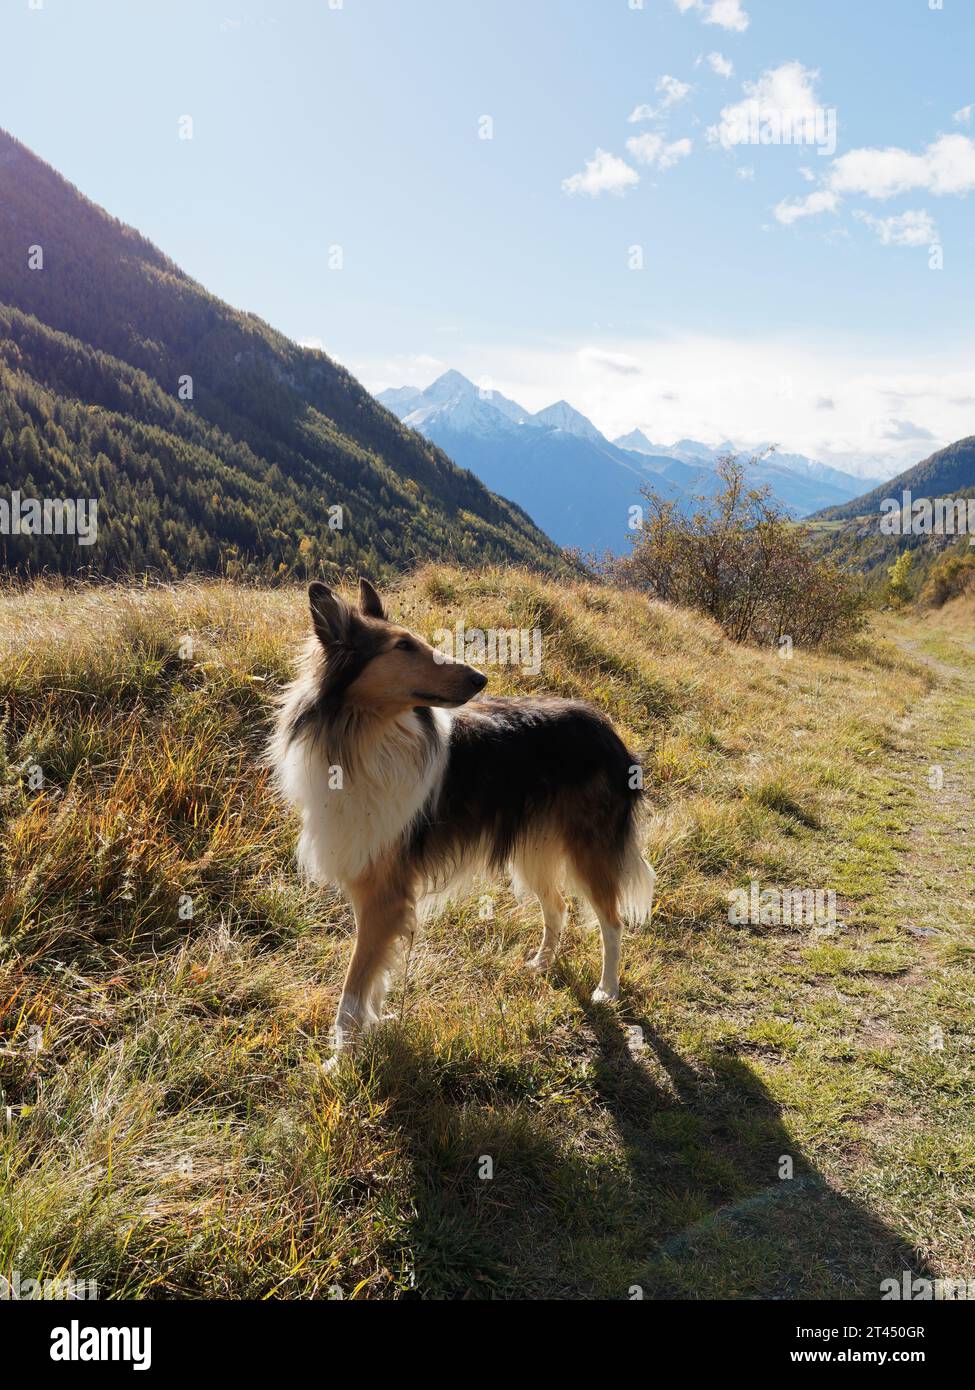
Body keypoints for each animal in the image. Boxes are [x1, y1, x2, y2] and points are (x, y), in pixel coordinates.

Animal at [269, 578, 659, 1050]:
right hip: (534, 850)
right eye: (403, 646)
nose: (480, 677)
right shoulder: (377, 891)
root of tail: (610, 731)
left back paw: (607, 990)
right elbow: (372, 978)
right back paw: (541, 965)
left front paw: (339, 1053)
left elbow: (354, 984)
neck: (367, 736)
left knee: (612, 922)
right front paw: (370, 1027)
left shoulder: (384, 893)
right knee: (557, 906)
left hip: (590, 852)